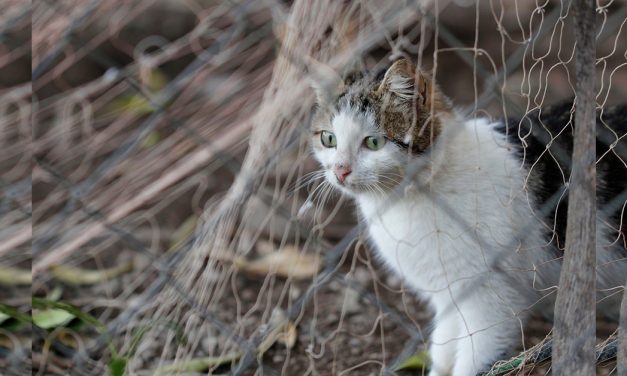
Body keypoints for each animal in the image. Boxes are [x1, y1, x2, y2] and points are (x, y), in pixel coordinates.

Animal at [310, 57, 627, 374]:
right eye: (329, 138)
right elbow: (444, 349)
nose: (340, 170)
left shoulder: (491, 302)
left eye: (373, 143)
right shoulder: (447, 297)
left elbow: (472, 359)